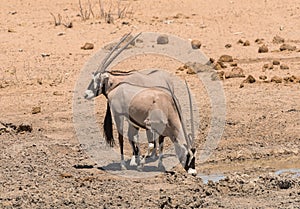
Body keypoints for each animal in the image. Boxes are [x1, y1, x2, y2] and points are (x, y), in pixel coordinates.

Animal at [84, 32, 197, 173]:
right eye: (187, 155)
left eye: (98, 79)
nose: (86, 94)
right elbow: (141, 139)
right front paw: (137, 162)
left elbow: (154, 141)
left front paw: (151, 162)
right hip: (119, 116)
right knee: (122, 137)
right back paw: (124, 164)